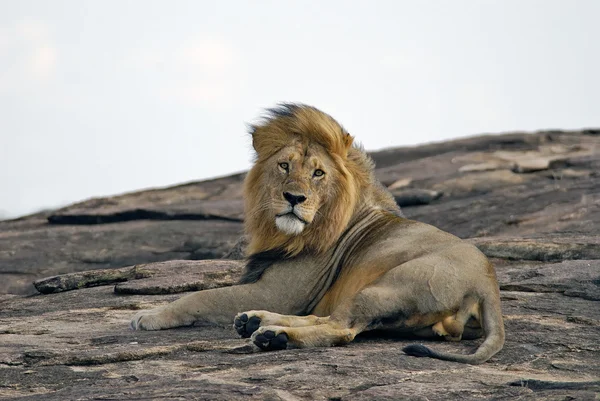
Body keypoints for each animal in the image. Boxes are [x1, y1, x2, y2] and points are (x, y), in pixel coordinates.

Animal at [129, 102, 504, 362]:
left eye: (318, 173)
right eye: (284, 165)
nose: (294, 198)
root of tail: (488, 284)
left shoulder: (280, 292)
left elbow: (199, 296)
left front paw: (149, 315)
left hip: (386, 286)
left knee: (341, 329)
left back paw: (272, 335)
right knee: (327, 318)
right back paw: (255, 322)